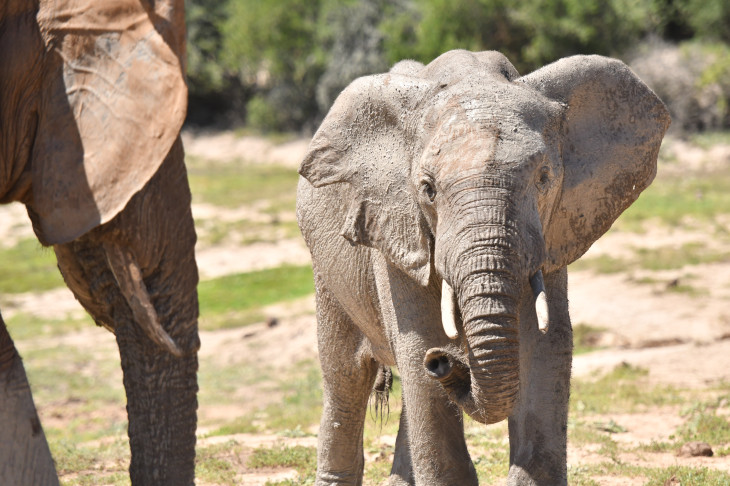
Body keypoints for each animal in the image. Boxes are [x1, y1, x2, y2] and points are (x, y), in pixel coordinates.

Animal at [298, 50, 672, 486]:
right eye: (427, 189)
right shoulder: (398, 230)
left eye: (545, 178)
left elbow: (546, 343)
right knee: (345, 377)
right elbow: (418, 342)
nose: (444, 361)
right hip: (326, 267)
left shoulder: (550, 231)